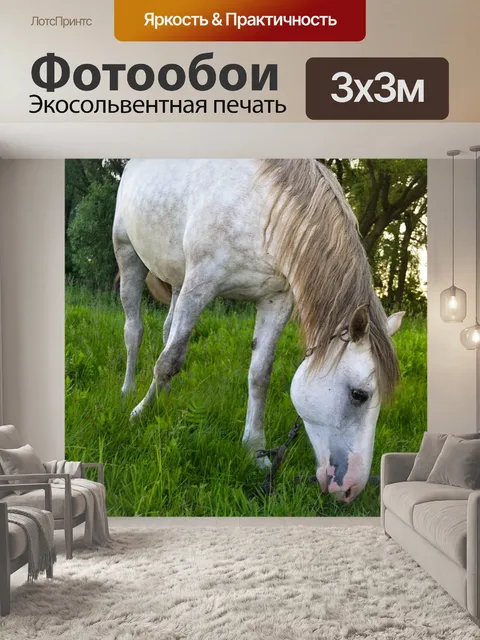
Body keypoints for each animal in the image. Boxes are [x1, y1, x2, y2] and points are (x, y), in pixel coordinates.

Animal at [113, 159, 404, 503]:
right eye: (359, 395)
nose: (351, 489)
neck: (264, 210)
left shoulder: (275, 302)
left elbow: (259, 375)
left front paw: (255, 450)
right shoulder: (200, 284)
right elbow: (169, 361)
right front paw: (139, 415)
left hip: (175, 277)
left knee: (168, 330)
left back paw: (164, 395)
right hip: (128, 253)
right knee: (135, 330)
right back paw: (128, 391)